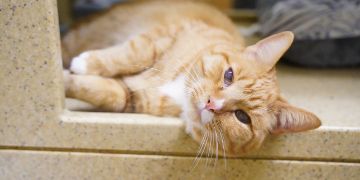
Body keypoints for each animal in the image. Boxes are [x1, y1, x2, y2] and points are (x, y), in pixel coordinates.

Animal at [62, 1, 320, 155]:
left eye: (242, 117)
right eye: (228, 75)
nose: (212, 104)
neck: (180, 89)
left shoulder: (131, 98)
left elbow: (103, 91)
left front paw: (68, 79)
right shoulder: (161, 37)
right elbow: (129, 54)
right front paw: (85, 63)